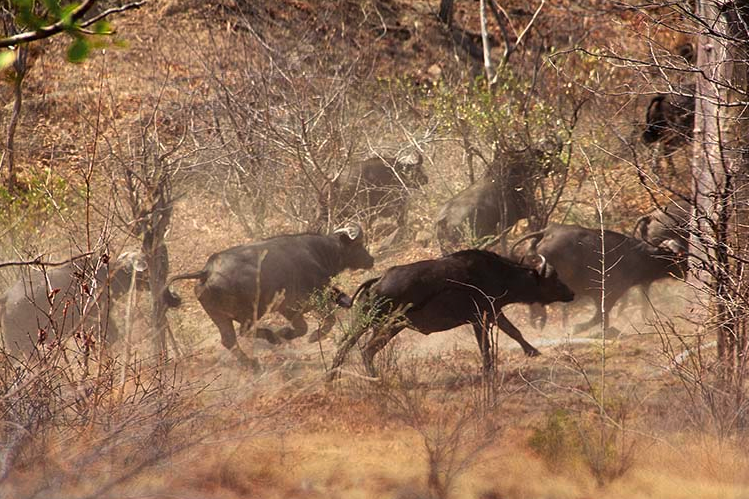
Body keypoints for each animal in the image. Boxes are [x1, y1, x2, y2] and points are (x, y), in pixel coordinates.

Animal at [163, 225, 374, 370]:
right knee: (245, 331)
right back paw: (271, 340)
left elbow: (307, 325)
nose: (370, 260)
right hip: (249, 312)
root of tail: (207, 271)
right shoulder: (296, 304)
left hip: (220, 317)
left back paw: (252, 363)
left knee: (229, 340)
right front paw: (295, 335)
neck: (317, 252)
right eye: (359, 245)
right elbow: (320, 323)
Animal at [328, 248, 572, 376]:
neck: (498, 274)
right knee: (366, 350)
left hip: (369, 323)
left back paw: (332, 375)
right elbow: (486, 346)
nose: (571, 293)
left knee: (346, 346)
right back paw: (374, 377)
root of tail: (379, 280)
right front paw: (488, 370)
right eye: (554, 279)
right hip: (388, 325)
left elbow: (514, 331)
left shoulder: (493, 313)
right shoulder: (480, 318)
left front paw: (533, 352)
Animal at [512, 224, 688, 334]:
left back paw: (537, 321)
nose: (686, 271)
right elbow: (600, 316)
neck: (636, 256)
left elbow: (603, 317)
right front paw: (578, 328)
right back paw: (540, 321)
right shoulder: (608, 294)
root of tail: (547, 232)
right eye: (677, 257)